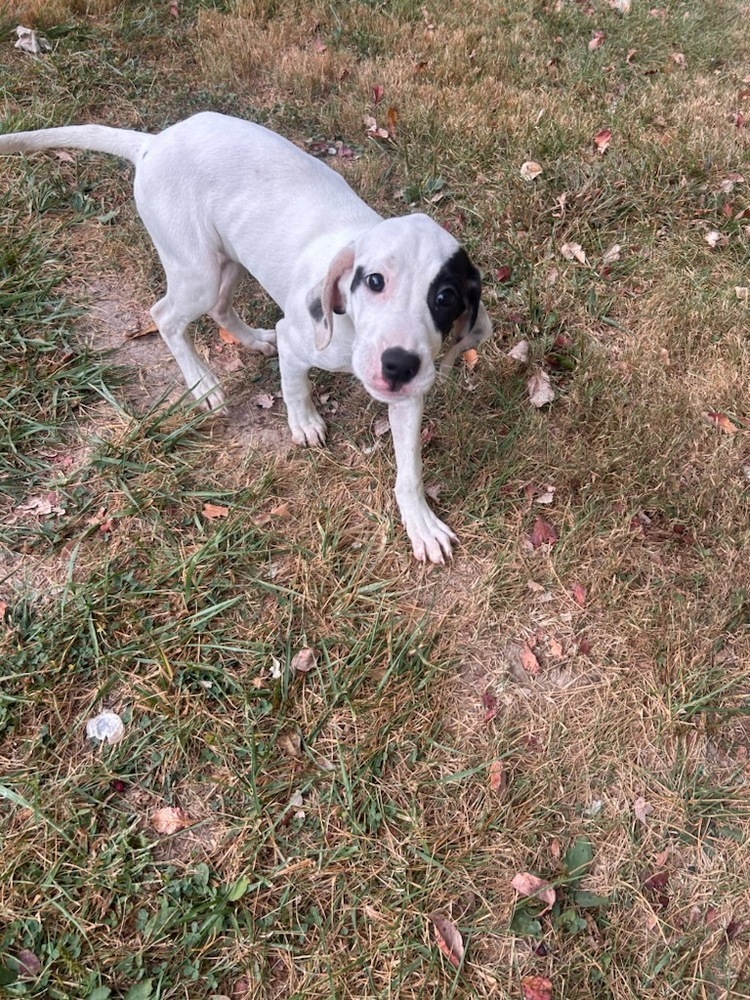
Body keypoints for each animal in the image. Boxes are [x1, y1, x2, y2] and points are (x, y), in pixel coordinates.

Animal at [0, 112, 494, 564]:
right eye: (374, 281)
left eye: (446, 297)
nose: (398, 365)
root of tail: (153, 143)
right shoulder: (297, 339)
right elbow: (295, 386)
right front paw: (304, 423)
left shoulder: (408, 396)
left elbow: (409, 469)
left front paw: (421, 523)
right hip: (196, 268)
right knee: (166, 317)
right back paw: (203, 384)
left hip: (231, 257)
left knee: (220, 306)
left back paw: (253, 340)